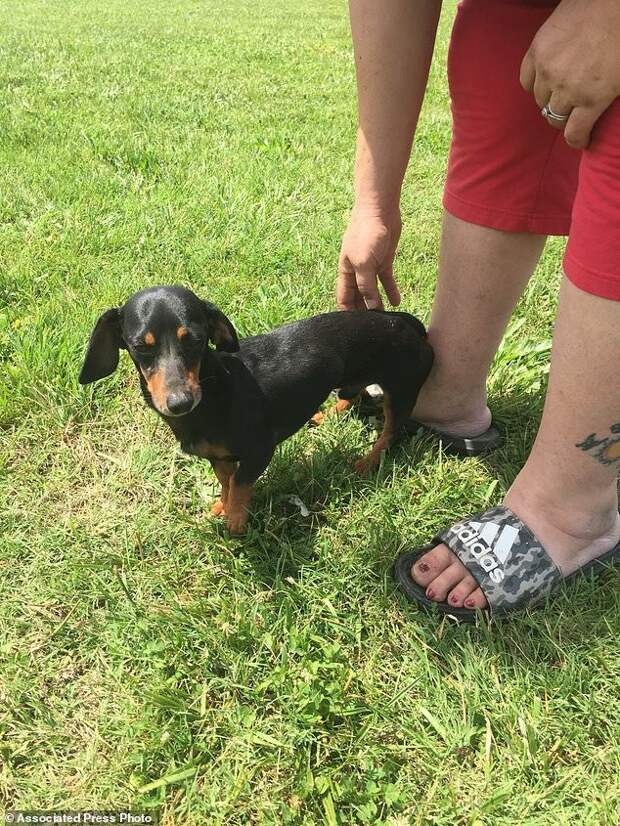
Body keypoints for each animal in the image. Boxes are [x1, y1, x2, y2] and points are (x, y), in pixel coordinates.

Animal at [80, 286, 434, 532]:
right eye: (141, 346)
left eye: (194, 339)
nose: (180, 402)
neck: (214, 391)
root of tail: (402, 321)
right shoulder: (219, 458)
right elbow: (226, 483)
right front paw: (223, 506)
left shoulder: (261, 450)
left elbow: (239, 483)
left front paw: (236, 519)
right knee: (355, 394)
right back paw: (330, 413)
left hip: (401, 394)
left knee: (390, 432)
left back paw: (368, 461)